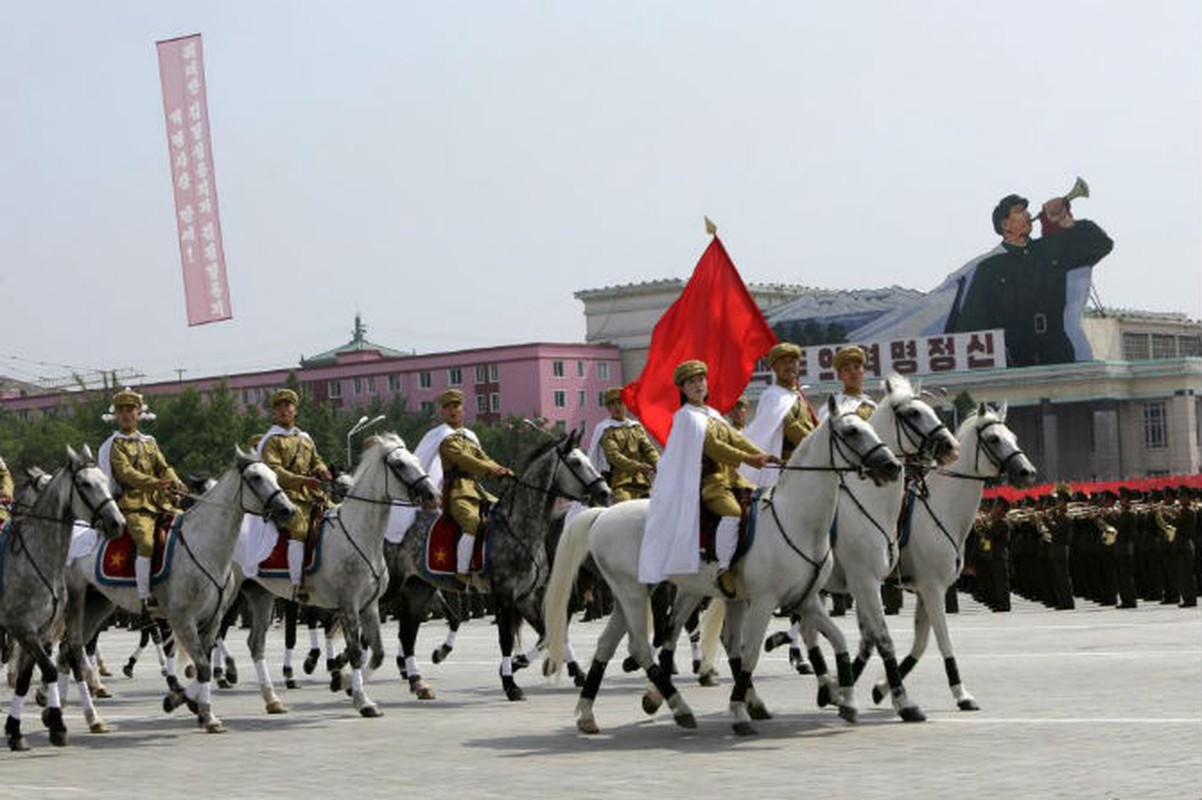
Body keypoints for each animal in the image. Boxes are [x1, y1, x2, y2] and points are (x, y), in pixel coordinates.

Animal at [0, 442, 123, 749]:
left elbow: (27, 678)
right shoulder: (22, 629)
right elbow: (50, 669)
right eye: (86, 484)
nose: (117, 523)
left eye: (105, 481)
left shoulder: (39, 630)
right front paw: (56, 724)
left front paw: (15, 731)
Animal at [62, 444, 295, 730]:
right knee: (71, 648)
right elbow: (202, 665)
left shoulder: (212, 618)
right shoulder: (181, 618)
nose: (287, 510)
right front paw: (188, 703)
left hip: (98, 605)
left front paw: (202, 709)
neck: (203, 546)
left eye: (273, 475)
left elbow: (204, 661)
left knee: (68, 649)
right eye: (256, 478)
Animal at [231, 432, 435, 711]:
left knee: (254, 643)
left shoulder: (369, 605)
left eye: (415, 459)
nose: (431, 493)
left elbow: (377, 652)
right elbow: (356, 651)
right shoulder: (348, 604)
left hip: (261, 595)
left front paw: (346, 683)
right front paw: (360, 698)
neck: (361, 537)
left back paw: (270, 699)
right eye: (400, 464)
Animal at [545, 398, 903, 735]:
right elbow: (751, 653)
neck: (796, 518)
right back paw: (680, 707)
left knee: (609, 644)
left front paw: (847, 700)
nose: (892, 465)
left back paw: (588, 714)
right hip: (634, 594)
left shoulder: (806, 599)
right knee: (643, 647)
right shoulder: (765, 600)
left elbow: (838, 641)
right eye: (852, 431)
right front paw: (739, 712)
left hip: (630, 595)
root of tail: (603, 514)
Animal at [870, 406, 1038, 711]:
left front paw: (881, 688)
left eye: (1013, 436)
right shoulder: (933, 589)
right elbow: (943, 641)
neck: (942, 510)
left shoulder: (924, 590)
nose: (1027, 472)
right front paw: (962, 694)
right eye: (994, 439)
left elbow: (920, 645)